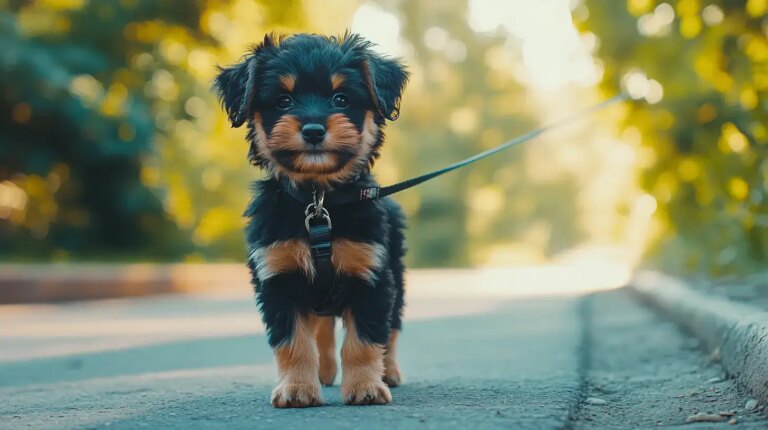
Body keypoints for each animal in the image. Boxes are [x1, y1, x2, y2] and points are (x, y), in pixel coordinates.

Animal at [213, 33, 408, 406]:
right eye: (284, 100)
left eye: (341, 98)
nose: (314, 130)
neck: (318, 201)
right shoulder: (278, 278)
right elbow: (294, 343)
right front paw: (297, 388)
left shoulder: (371, 275)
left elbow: (364, 340)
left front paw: (365, 386)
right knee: (322, 329)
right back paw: (324, 372)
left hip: (396, 273)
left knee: (390, 328)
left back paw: (388, 371)